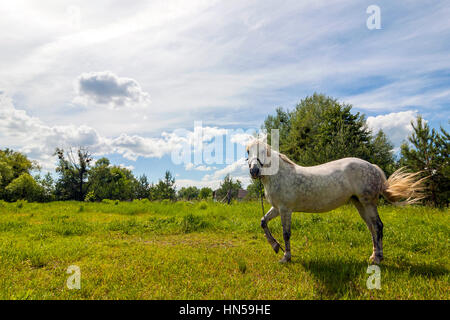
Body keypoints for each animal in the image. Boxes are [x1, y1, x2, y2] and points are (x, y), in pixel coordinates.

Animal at [246, 141, 426, 264]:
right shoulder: (277, 208)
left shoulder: (285, 209)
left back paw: (377, 259)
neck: (280, 175)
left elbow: (286, 233)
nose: (254, 170)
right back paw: (374, 255)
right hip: (360, 204)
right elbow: (263, 222)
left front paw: (286, 257)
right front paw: (275, 246)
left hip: (368, 203)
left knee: (377, 226)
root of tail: (373, 166)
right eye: (248, 151)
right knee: (371, 227)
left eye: (263, 151)